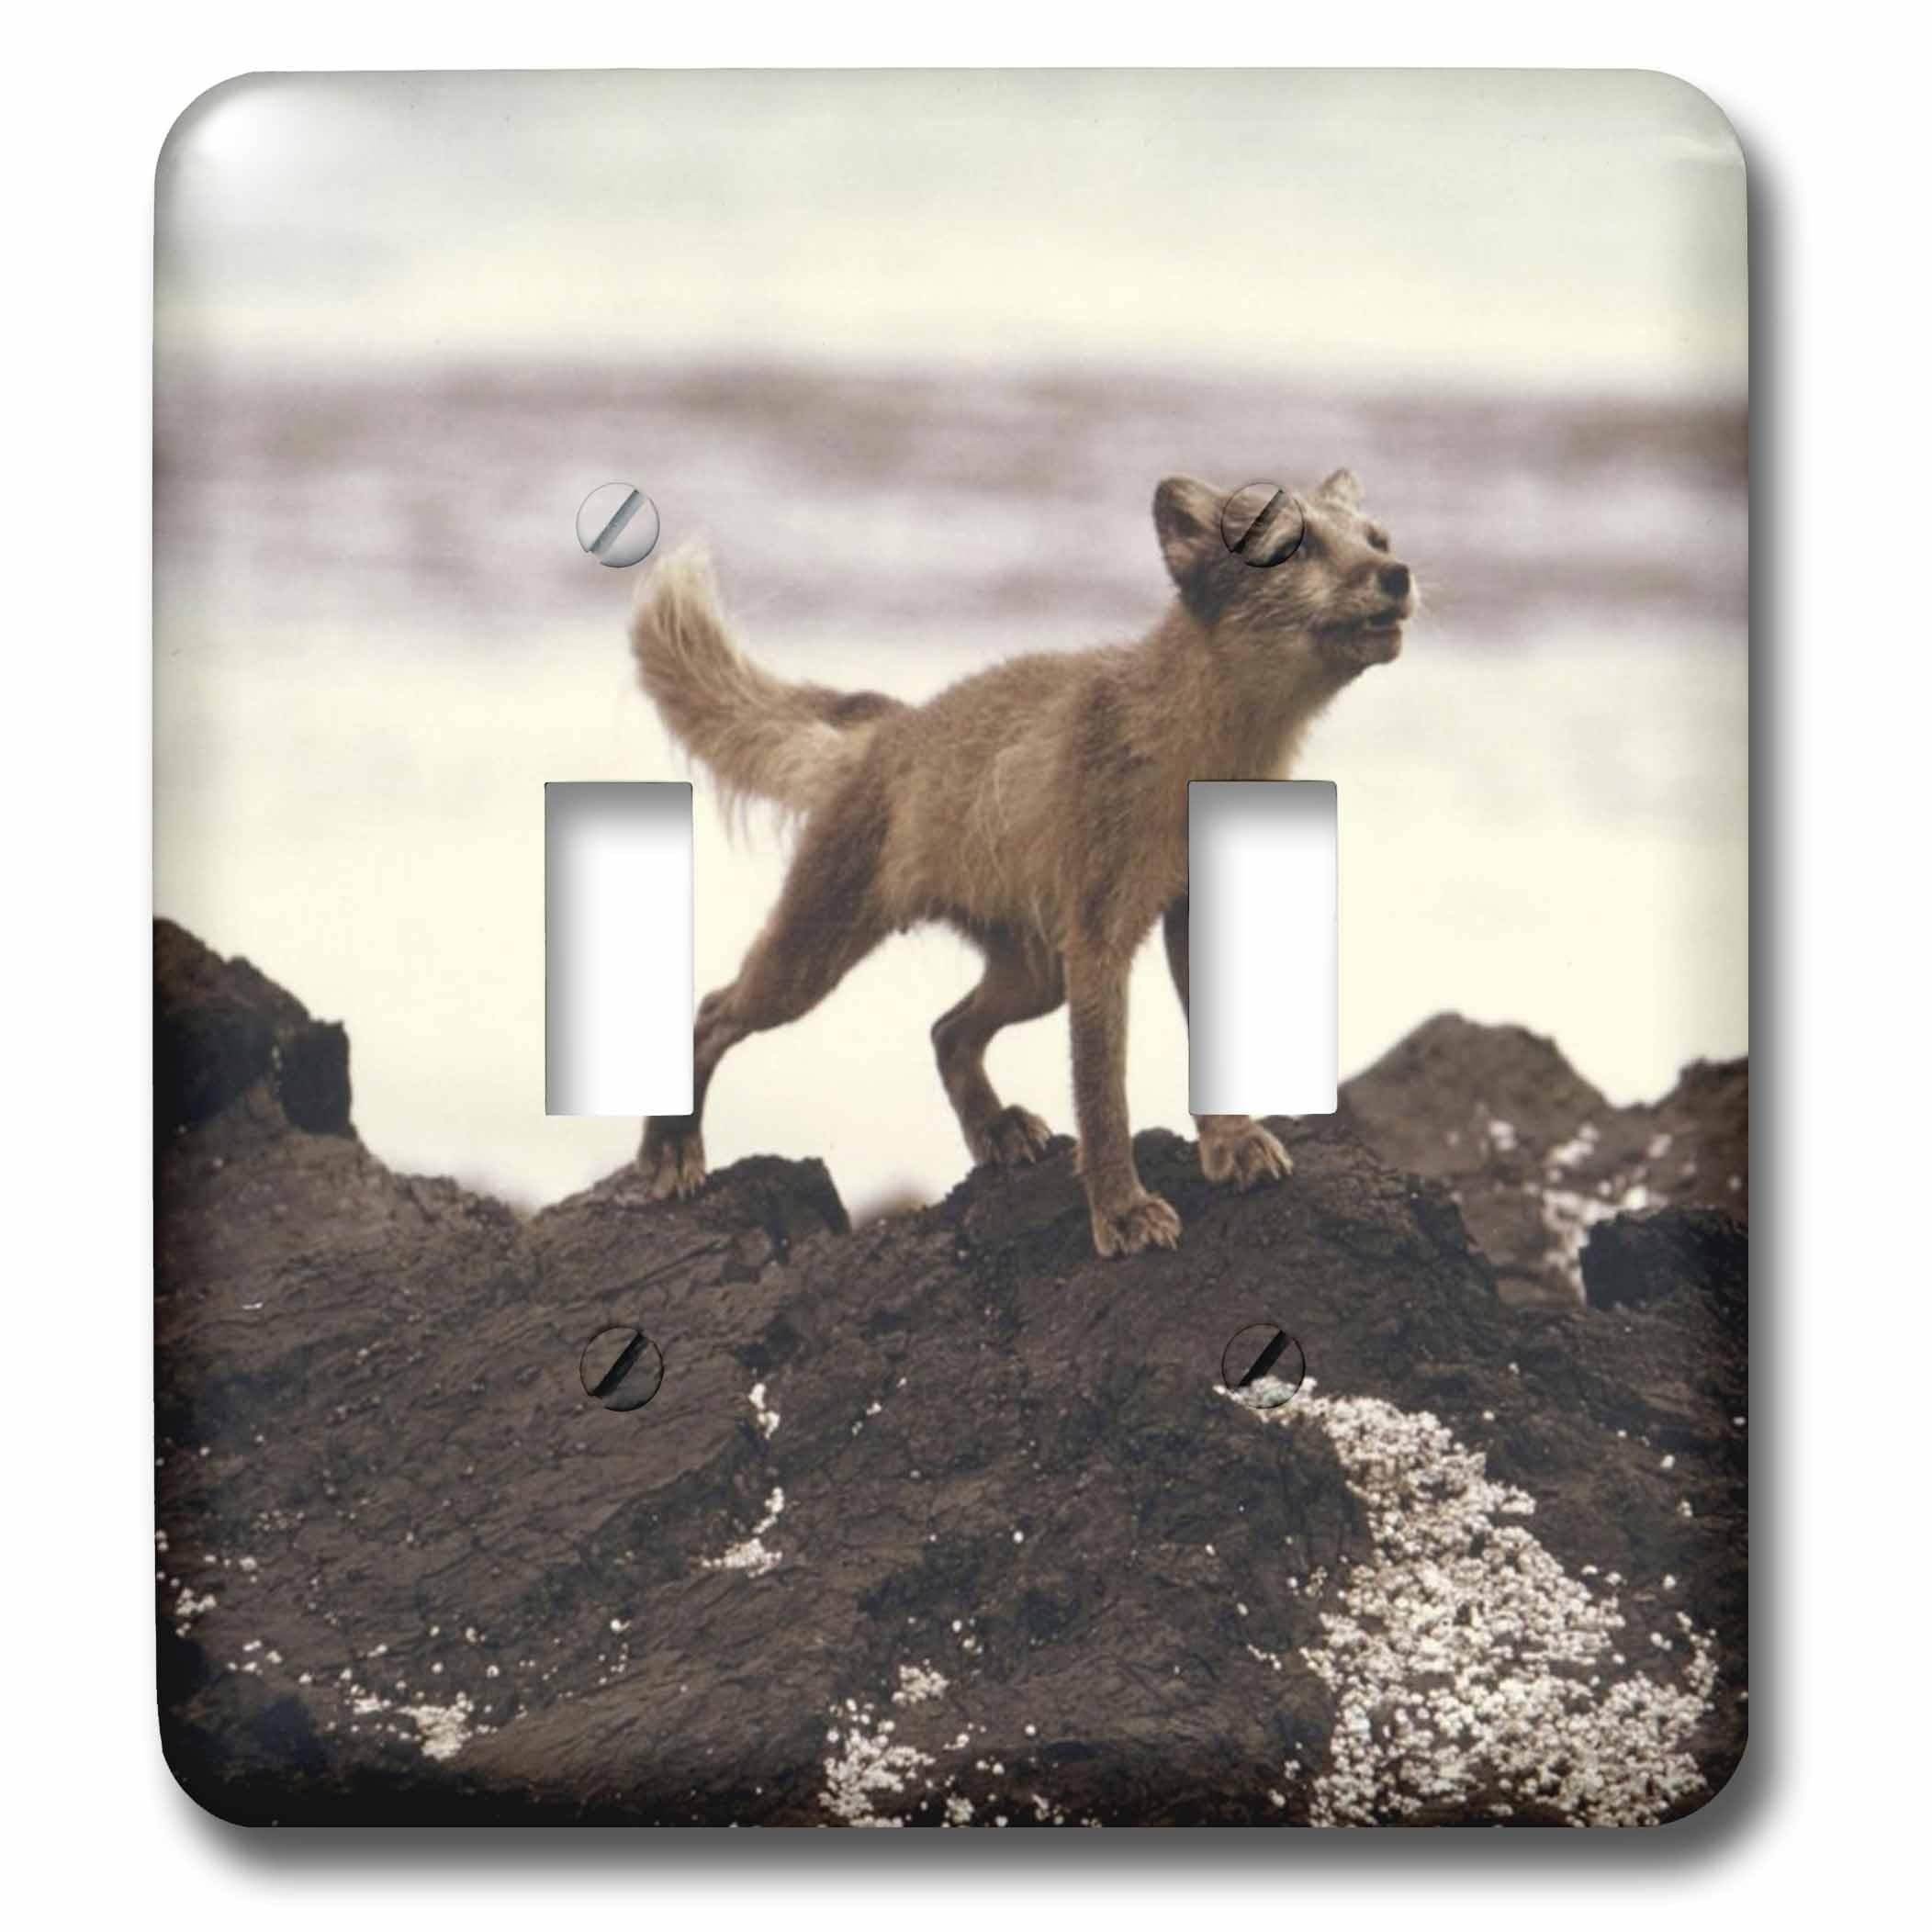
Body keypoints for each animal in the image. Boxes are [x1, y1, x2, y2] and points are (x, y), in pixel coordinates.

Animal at [629, 471, 1414, 1256]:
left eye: (1377, 539)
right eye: (1292, 547)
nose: (1399, 575)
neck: (1204, 753)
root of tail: (895, 726)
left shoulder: (1189, 915)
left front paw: (1232, 1142)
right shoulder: (1099, 940)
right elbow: (1103, 1100)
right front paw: (1122, 1210)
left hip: (1036, 974)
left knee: (946, 1031)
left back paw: (996, 1129)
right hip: (816, 960)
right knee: (715, 1011)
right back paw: (671, 1148)